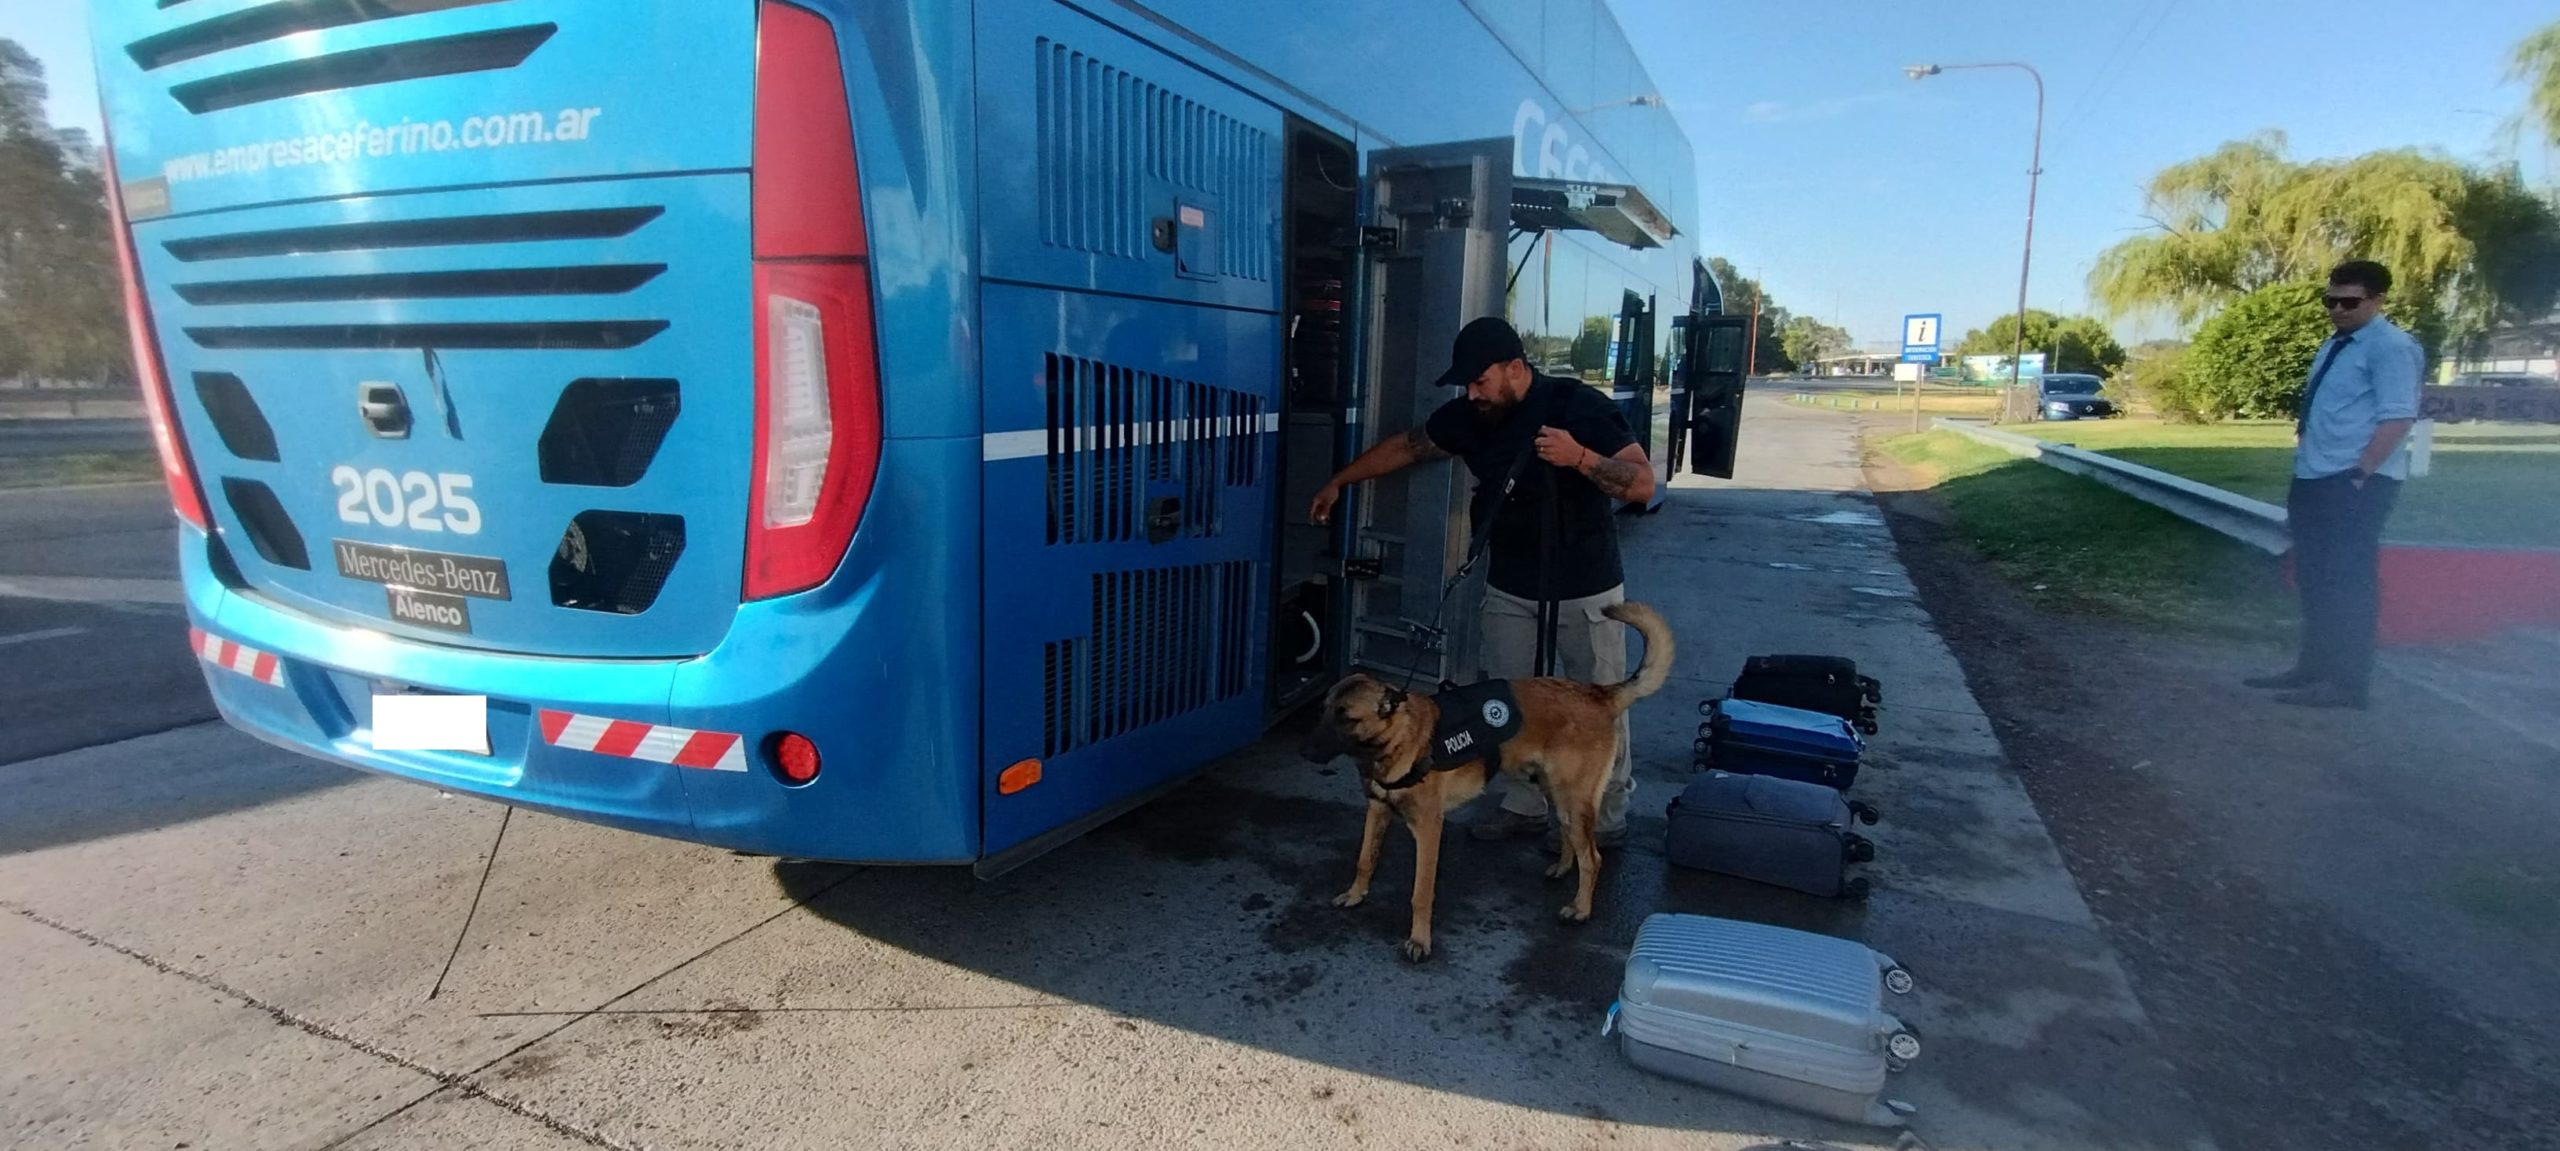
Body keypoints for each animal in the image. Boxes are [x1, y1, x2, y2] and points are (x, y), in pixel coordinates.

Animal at [1298, 601, 1673, 962]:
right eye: (1323, 709)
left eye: (1346, 718)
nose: (1304, 751)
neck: (1398, 739)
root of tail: (1598, 694)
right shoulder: (1377, 811)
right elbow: (1365, 859)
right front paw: (1355, 894)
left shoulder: (1429, 828)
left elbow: (1421, 892)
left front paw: (1419, 941)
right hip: (1556, 791)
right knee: (1573, 840)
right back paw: (1563, 868)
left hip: (1572, 799)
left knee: (1593, 858)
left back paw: (1580, 909)